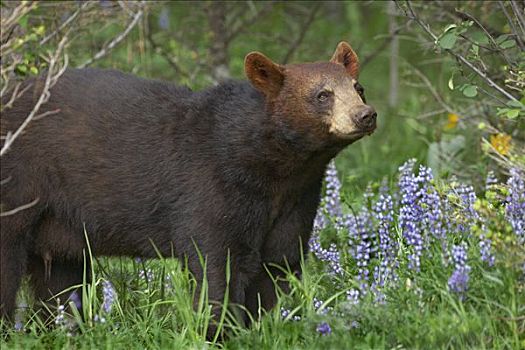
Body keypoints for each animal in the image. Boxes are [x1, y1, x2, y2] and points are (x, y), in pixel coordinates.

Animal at [1, 41, 376, 330]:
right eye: (323, 95)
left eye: (358, 87)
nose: (365, 115)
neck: (274, 169)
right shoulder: (211, 186)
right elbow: (217, 265)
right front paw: (219, 331)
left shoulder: (295, 200)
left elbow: (276, 264)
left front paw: (260, 327)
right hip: (17, 188)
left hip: (57, 227)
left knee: (61, 281)